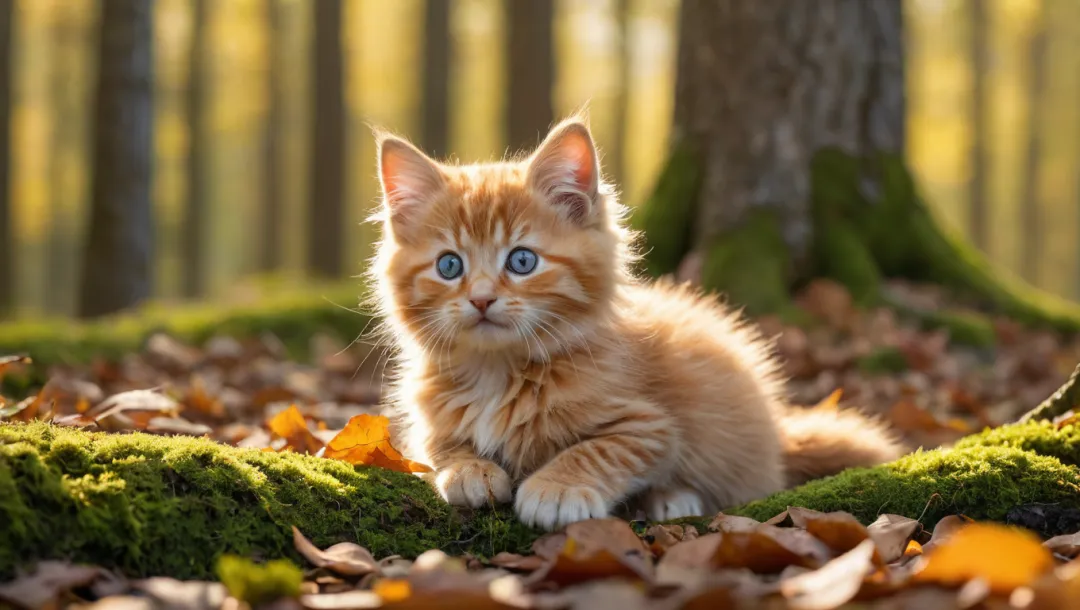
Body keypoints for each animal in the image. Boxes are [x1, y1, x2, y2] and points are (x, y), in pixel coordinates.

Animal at [367, 117, 907, 529]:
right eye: (449, 266)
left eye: (522, 261)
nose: (480, 299)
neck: (498, 372)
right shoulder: (427, 422)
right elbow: (439, 447)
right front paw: (467, 471)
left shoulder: (650, 426)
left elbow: (595, 450)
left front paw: (556, 488)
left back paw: (673, 499)